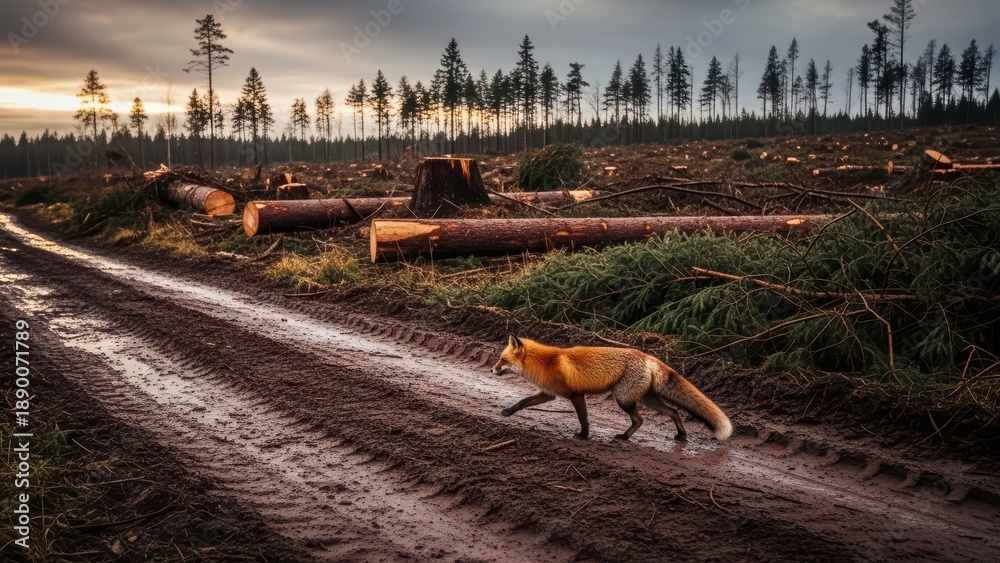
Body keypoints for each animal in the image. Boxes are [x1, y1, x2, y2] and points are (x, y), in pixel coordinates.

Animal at [491, 335, 732, 441]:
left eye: (503, 360)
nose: (492, 370)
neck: (546, 362)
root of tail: (647, 356)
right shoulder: (549, 394)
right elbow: (522, 402)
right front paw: (507, 412)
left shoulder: (575, 394)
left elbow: (583, 419)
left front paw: (583, 436)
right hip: (645, 398)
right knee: (674, 411)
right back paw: (681, 435)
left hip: (623, 398)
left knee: (640, 420)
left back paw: (624, 437)